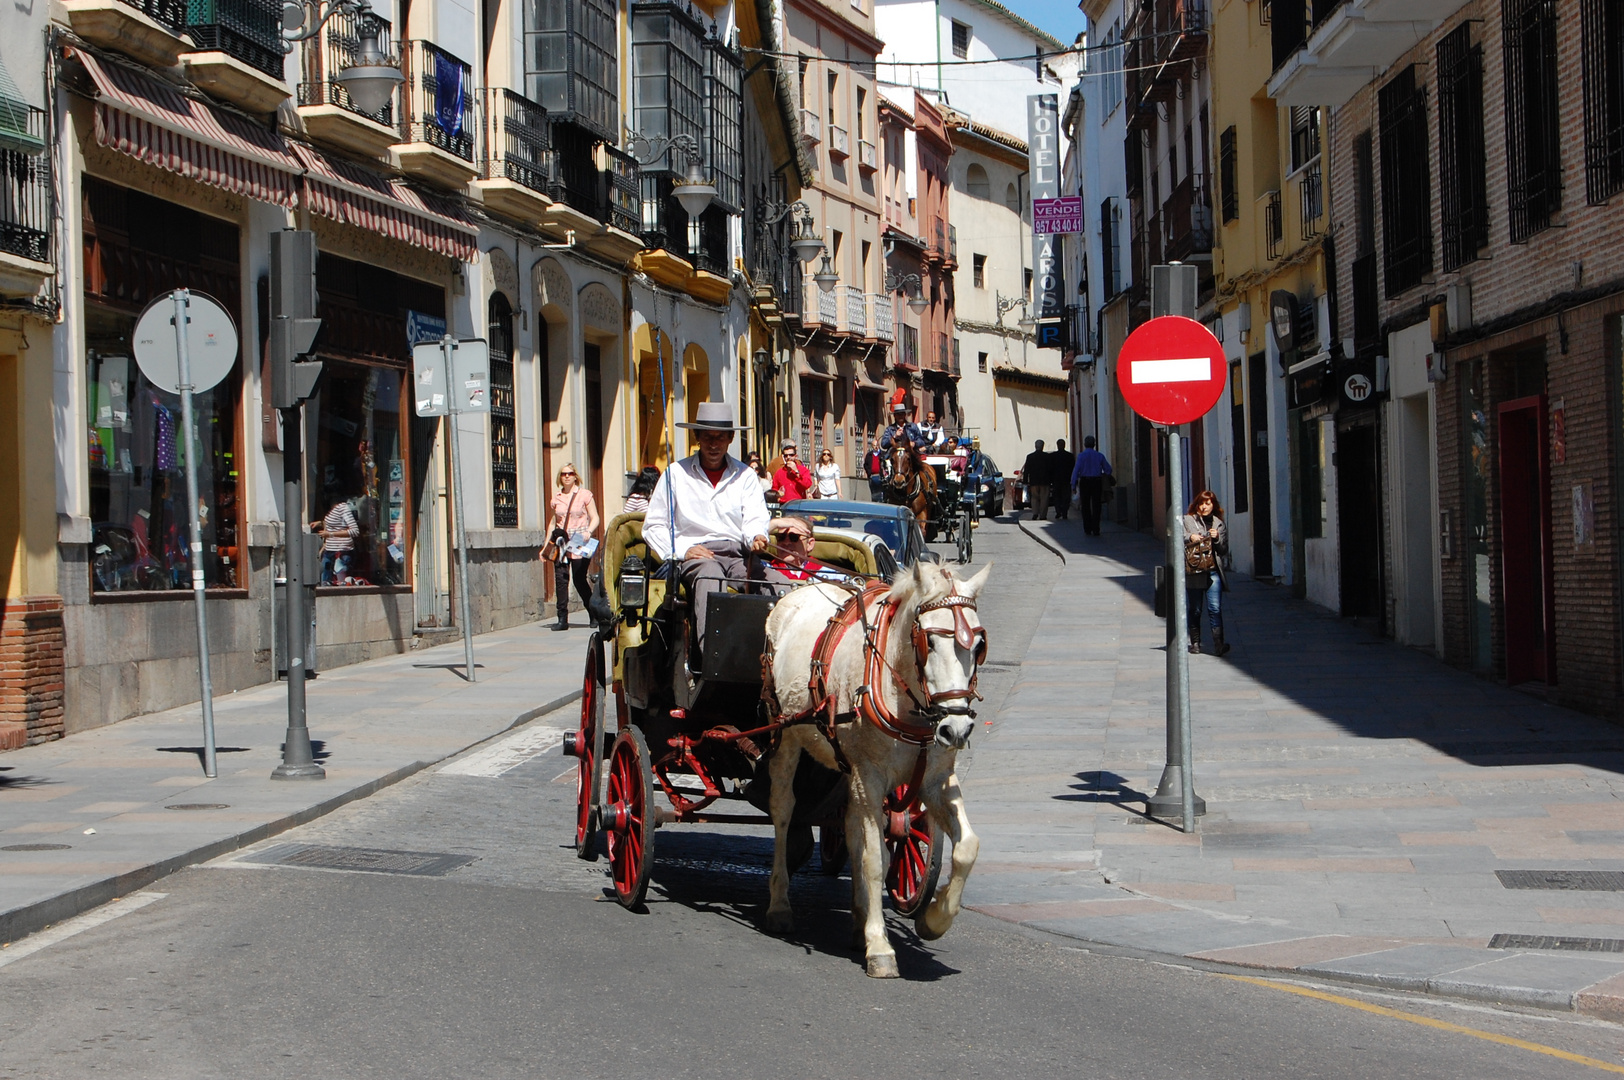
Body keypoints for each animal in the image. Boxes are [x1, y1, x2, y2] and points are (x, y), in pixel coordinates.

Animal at [760, 555, 987, 974]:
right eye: (928, 641)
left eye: (978, 644)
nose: (957, 729)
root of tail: (797, 590)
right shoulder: (870, 777)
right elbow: (874, 861)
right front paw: (880, 946)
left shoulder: (935, 781)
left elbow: (967, 847)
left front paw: (934, 918)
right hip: (784, 734)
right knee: (783, 810)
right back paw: (780, 904)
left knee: (850, 827)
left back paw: (857, 919)